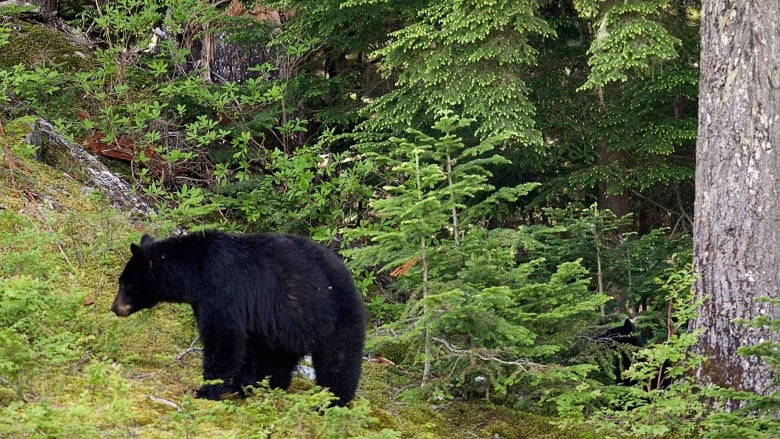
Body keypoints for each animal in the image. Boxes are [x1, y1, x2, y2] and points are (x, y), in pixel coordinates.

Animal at [111, 232, 368, 408]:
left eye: (125, 283)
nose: (114, 308)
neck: (196, 271)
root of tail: (353, 283)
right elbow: (247, 349)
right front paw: (241, 386)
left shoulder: (222, 291)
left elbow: (223, 338)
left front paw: (207, 390)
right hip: (287, 329)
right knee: (278, 360)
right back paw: (270, 387)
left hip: (336, 321)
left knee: (339, 362)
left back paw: (332, 402)